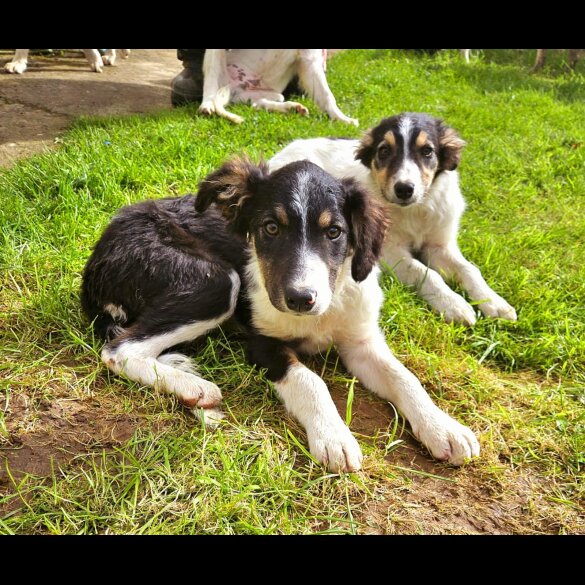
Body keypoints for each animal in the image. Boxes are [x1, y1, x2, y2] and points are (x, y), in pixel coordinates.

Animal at [81, 157, 480, 472]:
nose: (301, 298)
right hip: (217, 283)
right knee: (119, 349)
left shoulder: (361, 342)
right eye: (270, 228)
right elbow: (310, 381)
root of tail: (96, 261)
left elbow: (405, 377)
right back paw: (195, 388)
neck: (322, 311)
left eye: (334, 232)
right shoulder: (263, 343)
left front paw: (443, 428)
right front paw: (334, 436)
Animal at [198, 48, 358, 125]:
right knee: (211, 78)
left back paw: (292, 108)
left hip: (266, 94)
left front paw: (341, 118)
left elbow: (327, 95)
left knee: (258, 104)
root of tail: (230, 85)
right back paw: (207, 105)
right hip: (215, 61)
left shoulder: (310, 59)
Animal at [270, 112, 516, 326]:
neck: (415, 211)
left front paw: (494, 302)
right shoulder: (388, 251)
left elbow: (469, 269)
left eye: (427, 151)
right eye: (384, 151)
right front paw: (454, 304)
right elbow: (425, 272)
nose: (404, 189)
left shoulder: (440, 245)